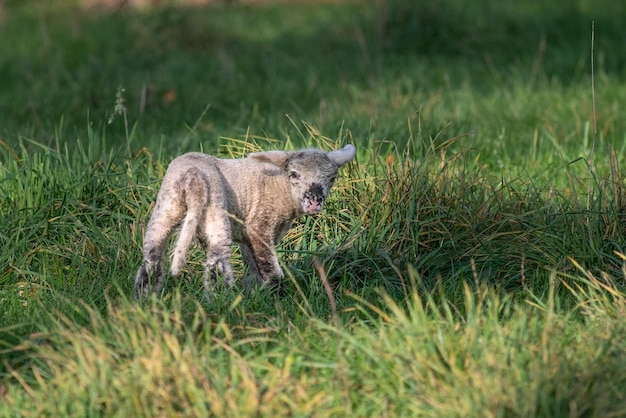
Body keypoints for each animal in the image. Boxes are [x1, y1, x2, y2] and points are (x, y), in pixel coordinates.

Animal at [133, 145, 354, 300]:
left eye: (332, 178)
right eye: (294, 174)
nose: (315, 201)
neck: (281, 186)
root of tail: (193, 177)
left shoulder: (247, 235)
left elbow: (252, 268)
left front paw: (254, 295)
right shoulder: (260, 225)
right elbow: (269, 268)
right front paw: (275, 300)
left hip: (166, 206)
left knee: (151, 259)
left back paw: (144, 299)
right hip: (216, 210)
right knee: (217, 264)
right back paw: (221, 302)